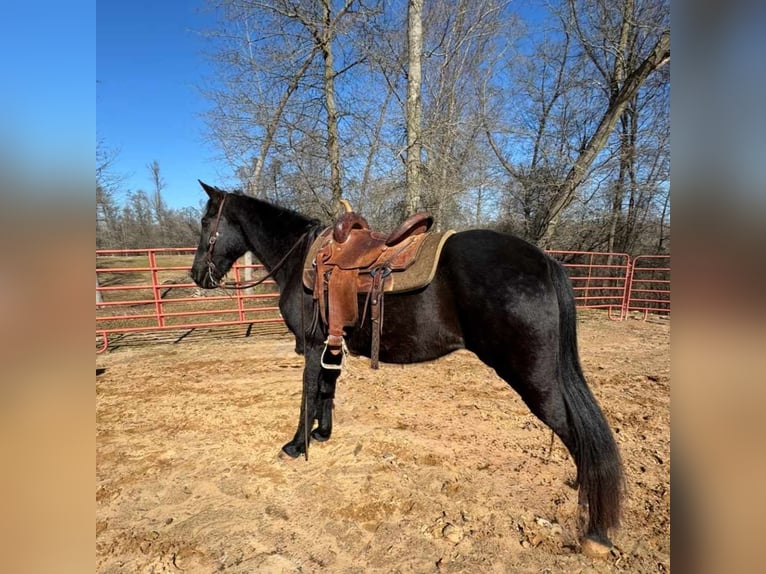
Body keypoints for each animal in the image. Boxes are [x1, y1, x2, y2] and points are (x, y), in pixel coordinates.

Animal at [190, 182, 624, 556]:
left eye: (207, 221)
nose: (197, 275)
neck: (303, 261)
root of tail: (545, 261)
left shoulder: (312, 347)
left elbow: (309, 393)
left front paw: (296, 446)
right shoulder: (331, 346)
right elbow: (328, 389)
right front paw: (321, 434)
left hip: (535, 379)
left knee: (575, 431)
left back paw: (595, 531)